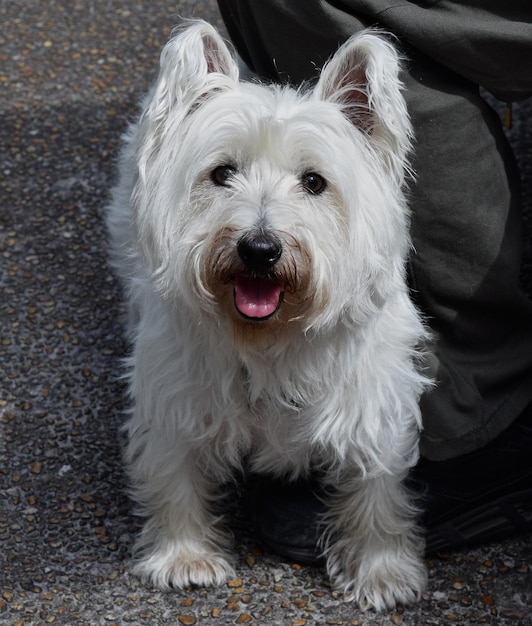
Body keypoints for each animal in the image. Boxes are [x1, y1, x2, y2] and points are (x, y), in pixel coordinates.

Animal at [107, 20, 432, 608]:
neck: (269, 339)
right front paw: (184, 555)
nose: (259, 249)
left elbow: (376, 485)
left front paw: (382, 570)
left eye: (314, 182)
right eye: (222, 173)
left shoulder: (372, 398)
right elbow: (173, 472)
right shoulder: (174, 394)